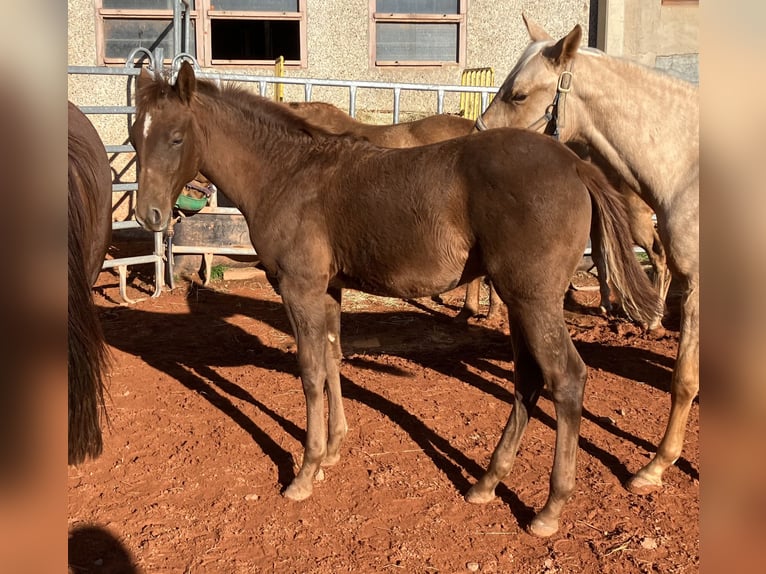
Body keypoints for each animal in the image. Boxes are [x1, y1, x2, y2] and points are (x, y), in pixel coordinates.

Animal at [131, 62, 661, 537]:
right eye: (135, 137)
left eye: (176, 137)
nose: (148, 215)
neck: (289, 174)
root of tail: (575, 163)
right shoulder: (329, 288)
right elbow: (332, 358)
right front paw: (333, 451)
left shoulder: (300, 288)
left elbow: (309, 371)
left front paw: (305, 472)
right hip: (521, 301)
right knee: (529, 378)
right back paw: (486, 483)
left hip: (535, 301)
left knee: (565, 378)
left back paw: (549, 509)